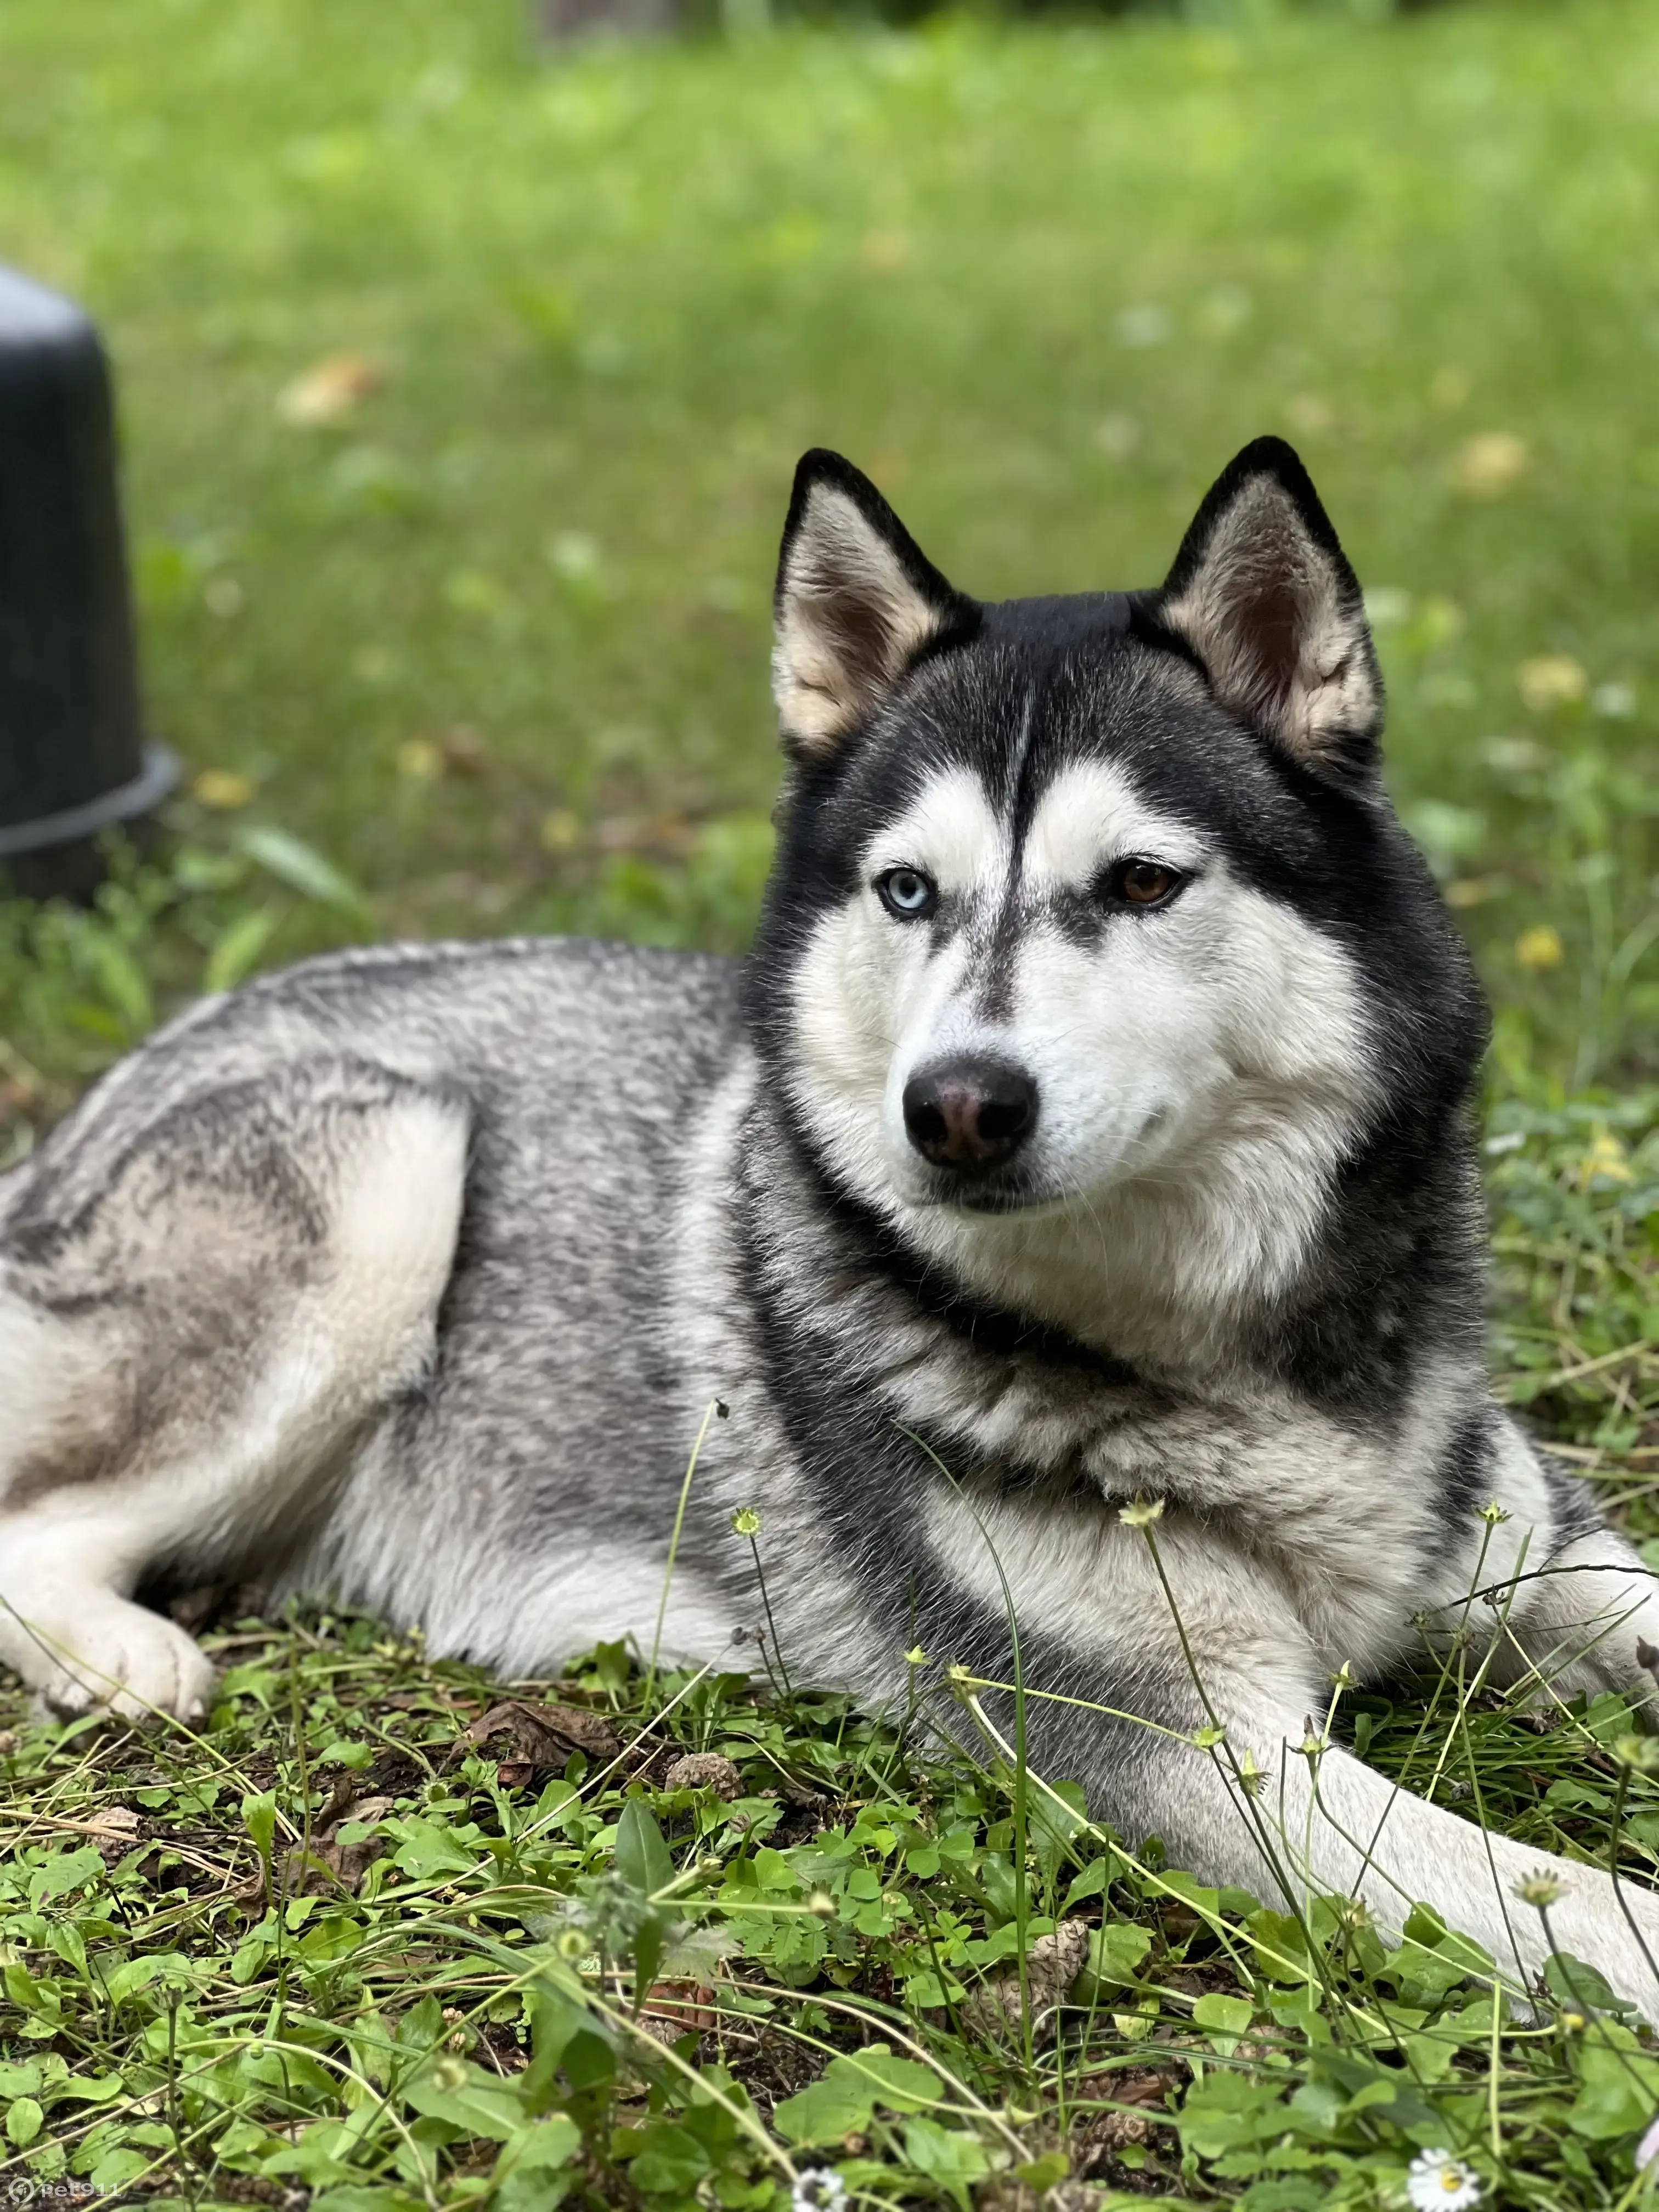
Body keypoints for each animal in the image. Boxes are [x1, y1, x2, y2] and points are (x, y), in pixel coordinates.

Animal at [3, 436, 1659, 2008]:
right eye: (908, 892)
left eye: (1140, 881)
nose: (959, 1106)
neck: (1251, 1358)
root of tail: (108, 1090)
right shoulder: (1197, 1746)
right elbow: (1577, 1904)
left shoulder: (1538, 1553)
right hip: (392, 1181)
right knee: (39, 1522)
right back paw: (124, 1655)